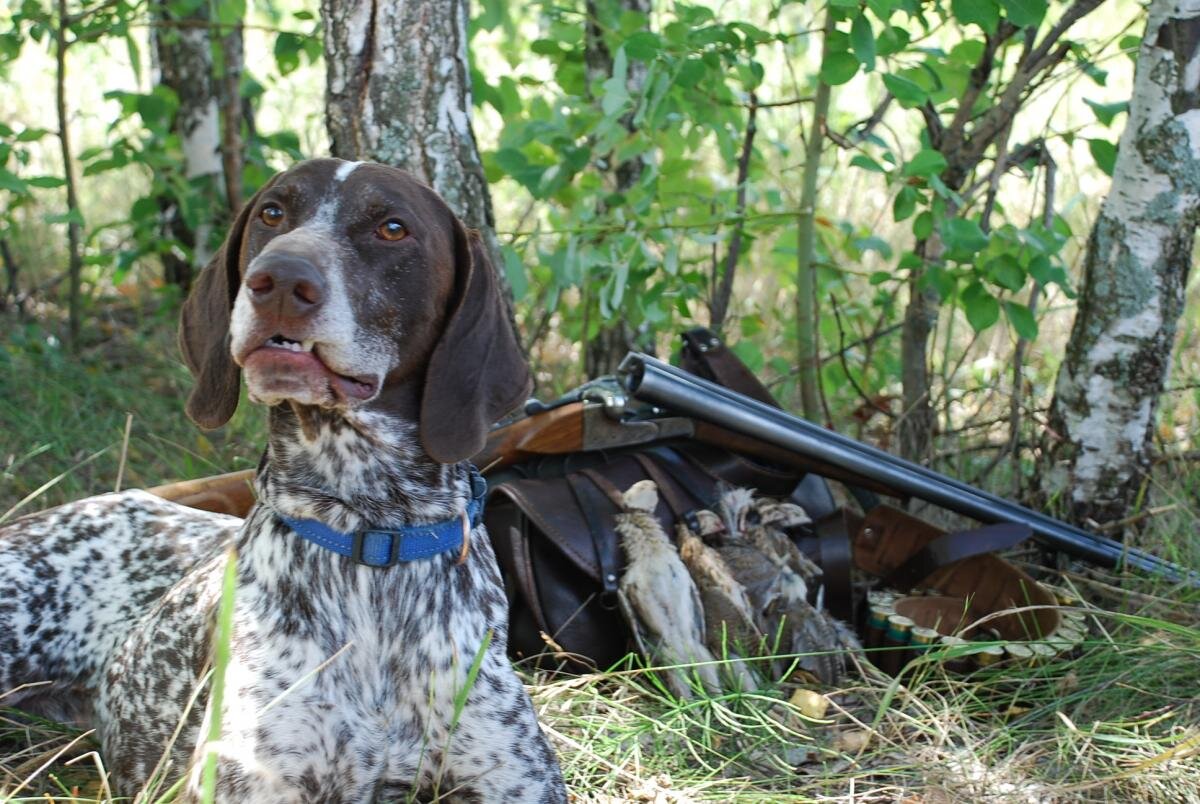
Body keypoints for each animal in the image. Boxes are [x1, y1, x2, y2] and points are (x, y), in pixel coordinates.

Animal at [0, 160, 566, 801]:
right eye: (273, 213)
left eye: (393, 227)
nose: (279, 279)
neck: (369, 529)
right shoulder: (254, 779)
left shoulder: (517, 779)